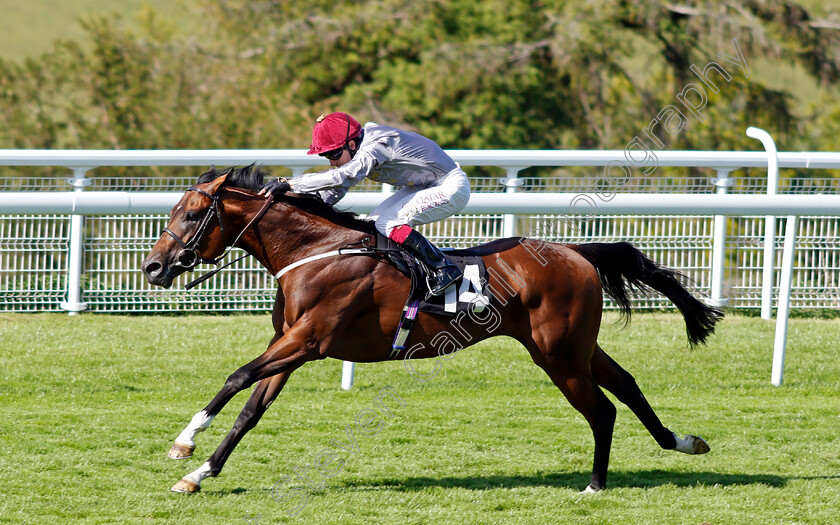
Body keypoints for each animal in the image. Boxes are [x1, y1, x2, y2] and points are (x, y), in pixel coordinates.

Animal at [141, 165, 720, 496]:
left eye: (191, 213)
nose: (152, 267)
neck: (316, 252)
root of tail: (575, 251)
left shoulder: (307, 341)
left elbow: (236, 378)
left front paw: (184, 443)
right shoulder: (290, 346)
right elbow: (249, 411)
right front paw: (197, 474)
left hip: (558, 355)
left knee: (601, 409)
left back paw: (596, 486)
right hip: (576, 347)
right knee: (626, 386)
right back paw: (682, 442)